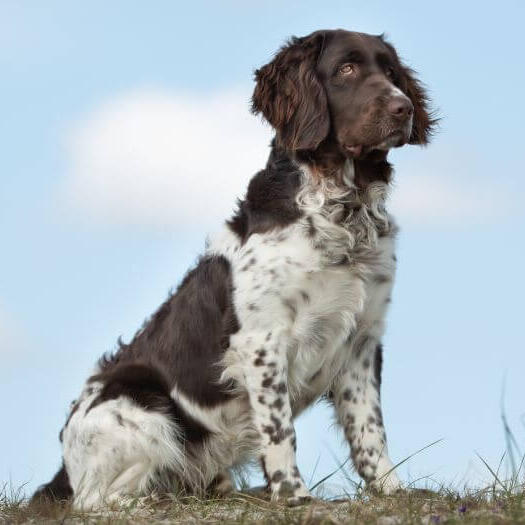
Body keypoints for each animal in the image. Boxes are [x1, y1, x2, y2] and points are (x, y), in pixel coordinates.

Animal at [31, 28, 434, 508]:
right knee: (97, 500)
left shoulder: (362, 339)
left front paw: (393, 491)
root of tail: (64, 472)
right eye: (347, 69)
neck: (339, 212)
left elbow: (370, 429)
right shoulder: (261, 341)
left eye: (391, 72)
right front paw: (293, 496)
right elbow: (280, 430)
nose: (403, 108)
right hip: (139, 404)